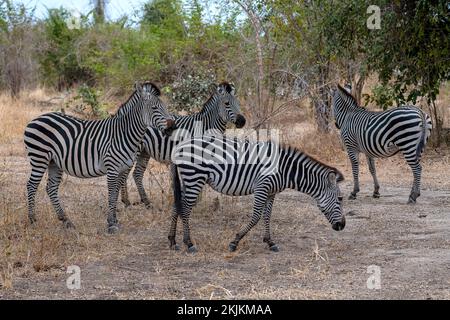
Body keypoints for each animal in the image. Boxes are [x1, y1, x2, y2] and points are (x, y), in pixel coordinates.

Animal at [23, 82, 176, 232]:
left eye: (165, 107)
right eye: (154, 108)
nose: (171, 127)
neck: (124, 133)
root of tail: (35, 119)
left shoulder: (122, 169)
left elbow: (115, 193)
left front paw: (115, 220)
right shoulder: (112, 168)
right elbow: (111, 194)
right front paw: (111, 224)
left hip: (54, 162)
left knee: (51, 188)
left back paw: (66, 220)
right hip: (39, 158)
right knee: (32, 185)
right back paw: (32, 220)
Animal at [118, 81, 246, 209]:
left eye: (238, 103)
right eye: (227, 103)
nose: (242, 121)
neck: (206, 126)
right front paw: (192, 201)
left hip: (145, 152)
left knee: (137, 174)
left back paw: (146, 203)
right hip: (134, 149)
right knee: (124, 175)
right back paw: (126, 202)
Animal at [171, 136, 346, 254]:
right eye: (340, 198)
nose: (342, 226)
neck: (285, 170)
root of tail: (180, 146)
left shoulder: (271, 192)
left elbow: (267, 216)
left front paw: (270, 242)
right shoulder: (262, 187)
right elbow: (256, 217)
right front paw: (235, 242)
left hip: (188, 180)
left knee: (176, 205)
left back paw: (172, 241)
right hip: (195, 178)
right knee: (185, 209)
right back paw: (189, 243)